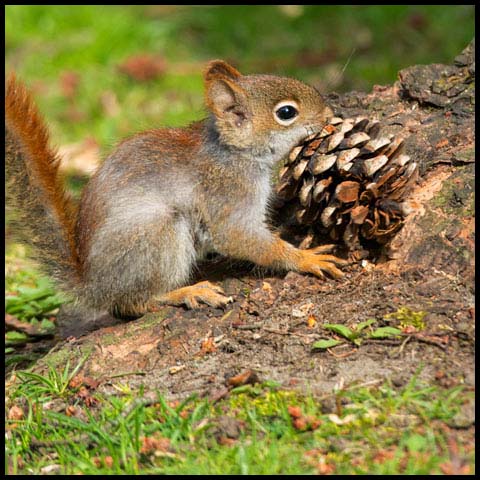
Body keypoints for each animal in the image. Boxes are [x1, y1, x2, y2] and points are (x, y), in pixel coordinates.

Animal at [5, 61, 346, 322]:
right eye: (286, 112)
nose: (329, 114)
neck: (232, 153)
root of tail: (94, 286)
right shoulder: (227, 195)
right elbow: (239, 237)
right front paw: (305, 259)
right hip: (157, 233)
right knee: (134, 303)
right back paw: (187, 291)